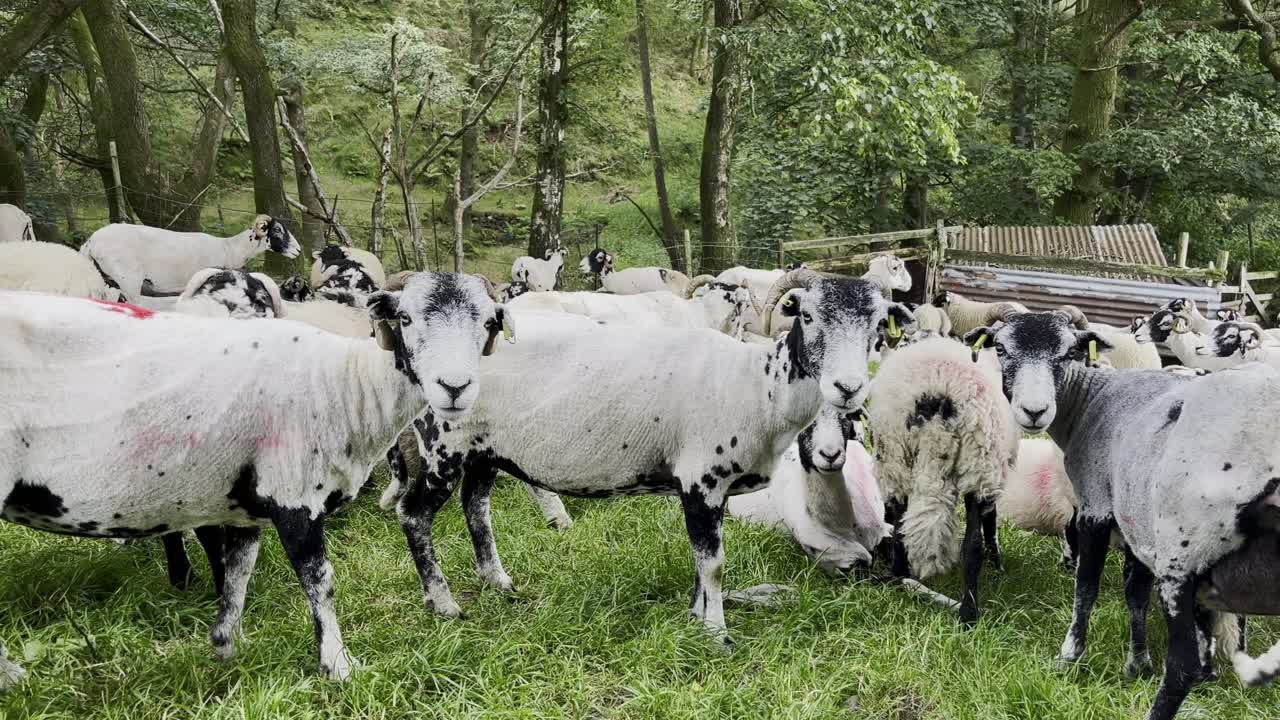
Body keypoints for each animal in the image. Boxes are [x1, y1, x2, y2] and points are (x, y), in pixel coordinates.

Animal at [0, 272, 511, 685]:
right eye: (405, 318)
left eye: (488, 323)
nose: (455, 388)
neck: (344, 385)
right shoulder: (295, 495)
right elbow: (320, 581)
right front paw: (337, 665)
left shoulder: (246, 507)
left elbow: (237, 572)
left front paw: (227, 645)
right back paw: (13, 679)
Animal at [80, 215, 301, 301]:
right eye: (277, 230)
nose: (299, 250)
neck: (229, 248)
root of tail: (90, 243)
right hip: (128, 279)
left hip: (105, 280)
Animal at [867, 335, 1020, 625]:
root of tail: (937, 392)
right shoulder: (991, 474)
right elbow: (990, 522)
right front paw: (997, 563)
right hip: (978, 461)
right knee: (971, 544)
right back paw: (968, 615)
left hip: (894, 454)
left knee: (900, 520)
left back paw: (900, 575)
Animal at [964, 308, 1280, 720]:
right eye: (1000, 349)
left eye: (1068, 352)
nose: (1034, 412)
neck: (1090, 400)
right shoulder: (1135, 522)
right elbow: (1135, 592)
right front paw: (1137, 663)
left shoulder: (1095, 508)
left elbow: (1086, 586)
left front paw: (1070, 655)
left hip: (1183, 551)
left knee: (1184, 665)